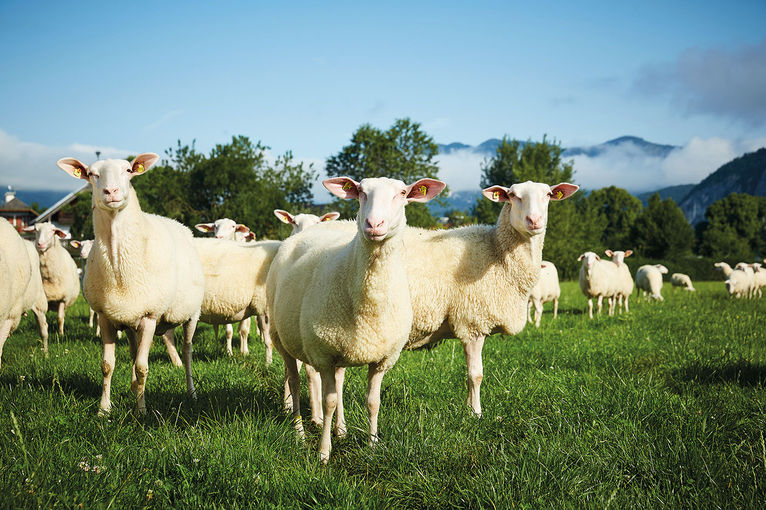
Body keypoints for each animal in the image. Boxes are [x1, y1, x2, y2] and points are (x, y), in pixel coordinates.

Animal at [57, 151, 206, 414]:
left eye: (128, 170)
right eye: (91, 174)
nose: (111, 191)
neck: (119, 266)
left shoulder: (149, 315)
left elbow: (142, 367)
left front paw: (141, 411)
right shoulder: (106, 315)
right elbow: (107, 365)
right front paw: (103, 409)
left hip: (191, 314)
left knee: (187, 351)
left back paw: (191, 392)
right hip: (129, 320)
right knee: (135, 351)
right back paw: (132, 387)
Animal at [270, 175, 450, 462]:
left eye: (402, 193)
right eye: (361, 192)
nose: (374, 224)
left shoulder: (382, 358)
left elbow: (372, 402)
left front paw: (373, 445)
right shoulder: (323, 355)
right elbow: (328, 402)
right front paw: (323, 452)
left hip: (341, 346)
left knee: (339, 382)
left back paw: (341, 429)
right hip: (282, 337)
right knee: (295, 380)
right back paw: (299, 432)